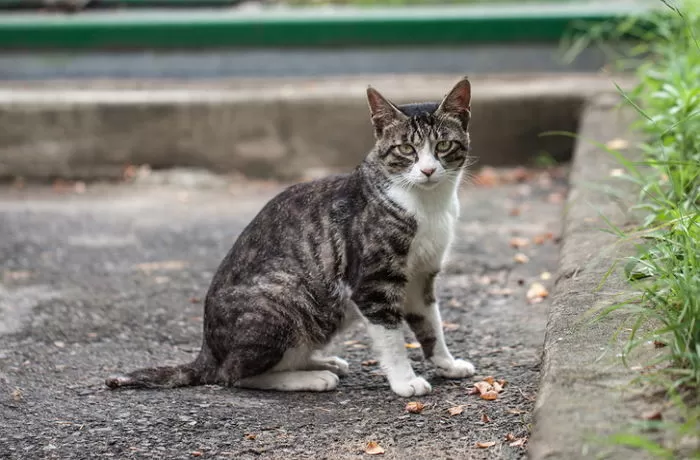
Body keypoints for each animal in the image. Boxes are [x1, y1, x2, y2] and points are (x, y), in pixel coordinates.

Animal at [105, 77, 476, 398]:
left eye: (443, 145)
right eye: (406, 149)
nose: (427, 170)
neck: (428, 206)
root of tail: (207, 352)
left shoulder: (420, 277)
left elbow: (431, 325)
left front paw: (447, 363)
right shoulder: (373, 281)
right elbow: (391, 335)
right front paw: (404, 380)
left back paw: (321, 361)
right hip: (285, 295)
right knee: (233, 374)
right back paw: (310, 378)